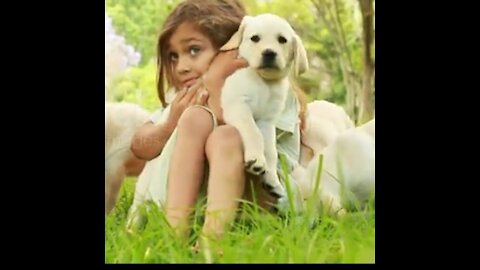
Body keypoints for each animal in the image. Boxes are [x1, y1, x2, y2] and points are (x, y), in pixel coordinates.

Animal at [219, 13, 310, 199]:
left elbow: (270, 149)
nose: (269, 53)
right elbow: (254, 133)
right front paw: (256, 159)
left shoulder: (268, 121)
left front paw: (272, 178)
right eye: (255, 38)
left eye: (282, 40)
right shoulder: (238, 106)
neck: (263, 81)